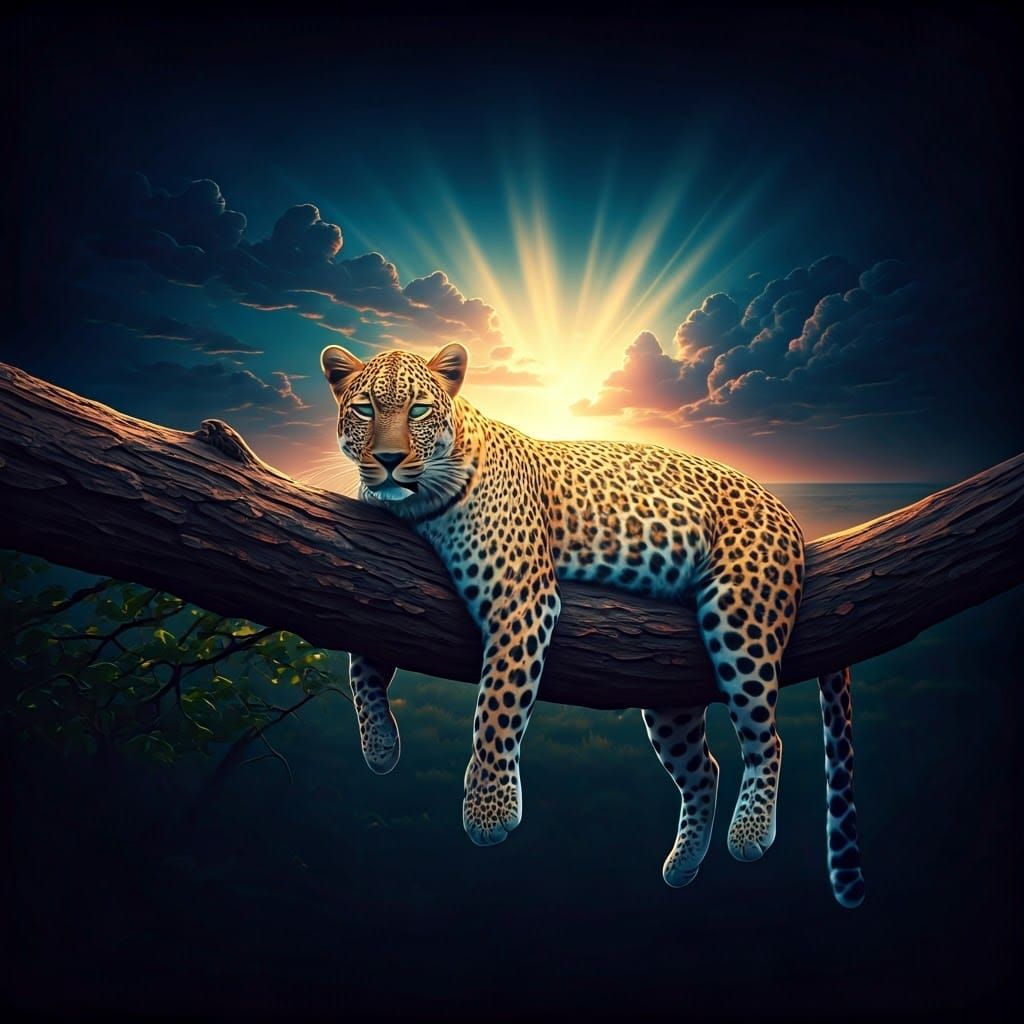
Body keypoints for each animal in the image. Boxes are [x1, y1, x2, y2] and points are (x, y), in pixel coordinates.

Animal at [321, 341, 865, 908]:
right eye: (365, 410)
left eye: (419, 411)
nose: (387, 461)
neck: (415, 508)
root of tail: (786, 511)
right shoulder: (381, 580)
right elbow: (361, 669)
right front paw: (380, 747)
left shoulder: (521, 598)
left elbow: (495, 707)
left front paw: (488, 810)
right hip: (668, 691)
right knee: (704, 771)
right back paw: (683, 864)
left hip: (740, 619)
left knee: (766, 740)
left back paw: (750, 832)